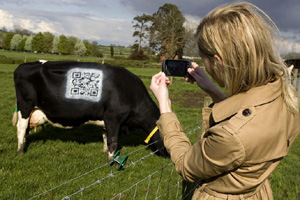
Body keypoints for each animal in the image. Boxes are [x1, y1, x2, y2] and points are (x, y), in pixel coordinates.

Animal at [12, 60, 169, 160]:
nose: (169, 157)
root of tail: (24, 65)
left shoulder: (107, 118)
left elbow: (105, 136)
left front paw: (104, 152)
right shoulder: (113, 117)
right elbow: (113, 141)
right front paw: (111, 160)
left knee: (25, 130)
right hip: (25, 106)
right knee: (21, 127)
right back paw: (20, 151)